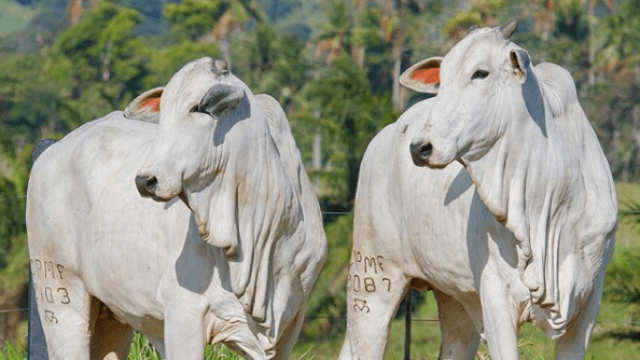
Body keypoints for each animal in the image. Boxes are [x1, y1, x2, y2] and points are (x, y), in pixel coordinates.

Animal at [27, 57, 328, 358]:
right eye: (164, 113)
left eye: (197, 108)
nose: (145, 180)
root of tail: (49, 153)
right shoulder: (183, 315)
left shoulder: (289, 326)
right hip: (59, 294)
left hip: (111, 315)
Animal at [340, 19, 616, 360]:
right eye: (442, 78)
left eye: (480, 73)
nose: (420, 148)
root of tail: (388, 132)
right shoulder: (496, 295)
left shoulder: (587, 303)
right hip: (373, 278)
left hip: (454, 300)